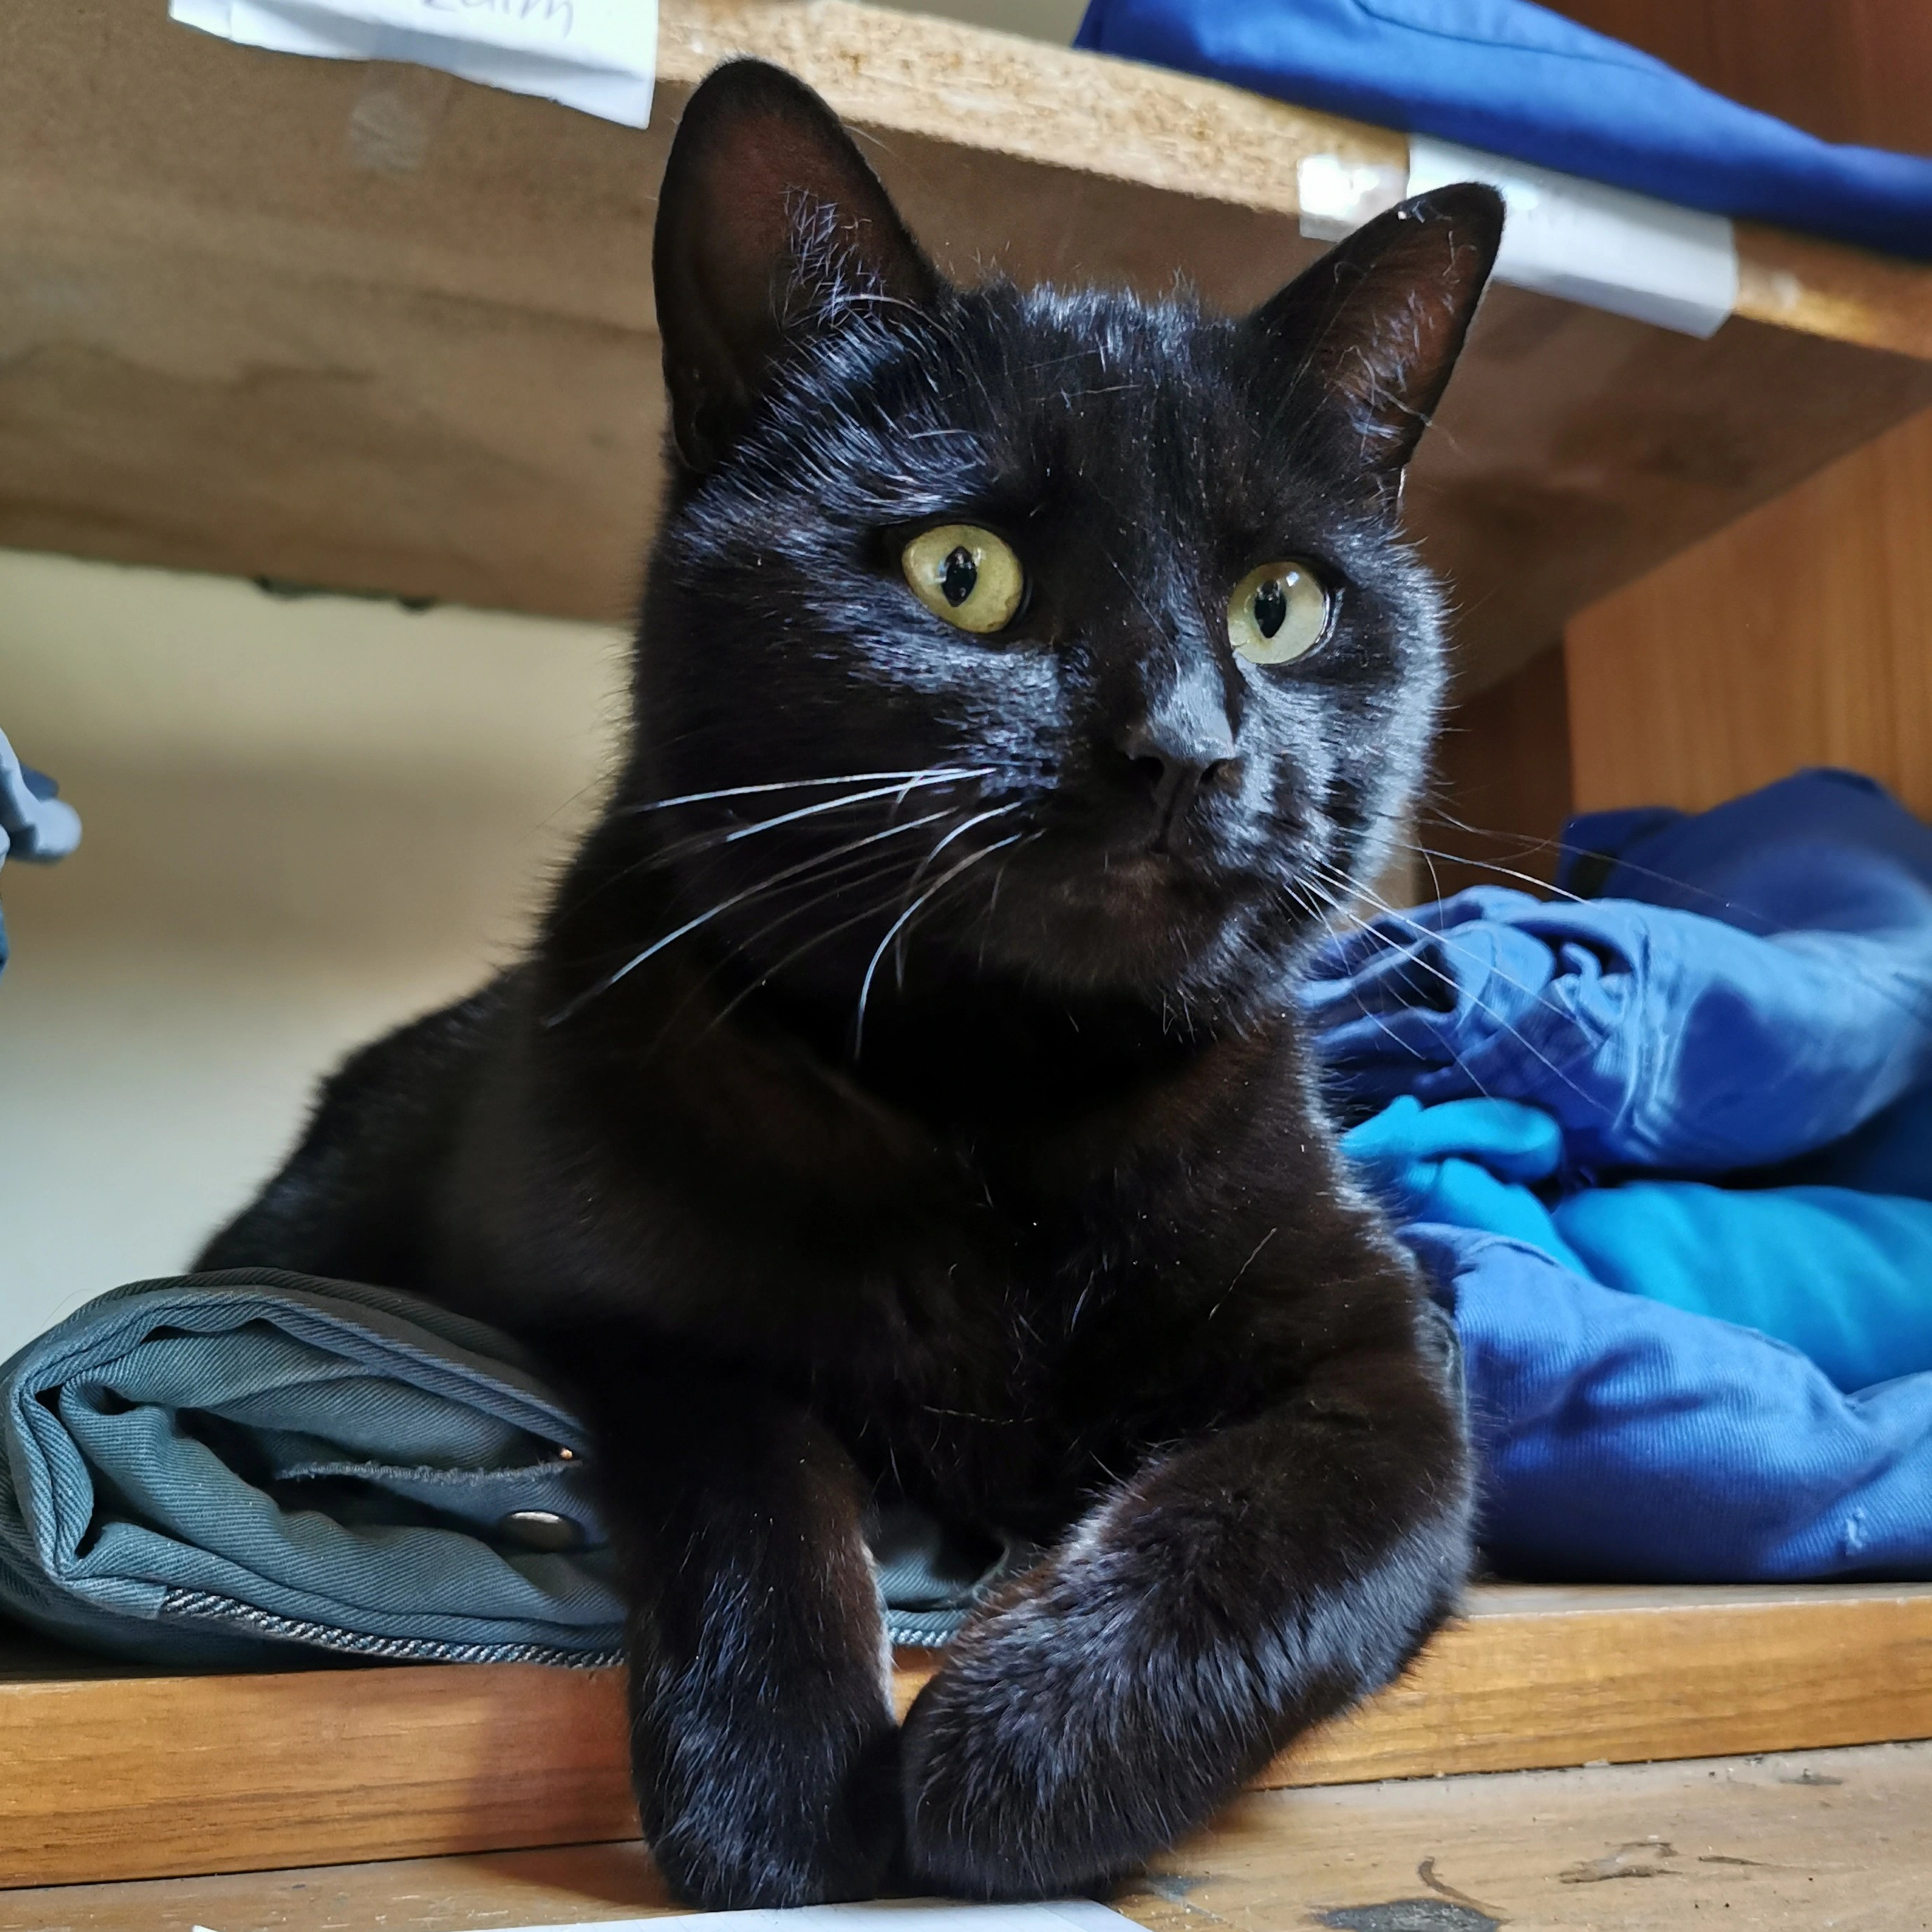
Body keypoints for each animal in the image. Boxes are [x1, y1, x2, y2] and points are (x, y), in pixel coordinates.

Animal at [200, 57, 1503, 1910]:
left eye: (1280, 607)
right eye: (962, 572)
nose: (1183, 746)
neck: (997, 1094)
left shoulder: (1390, 1367)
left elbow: (1269, 1524)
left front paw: (1029, 1747)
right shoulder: (605, 1304)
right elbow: (760, 1453)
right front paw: (784, 1784)